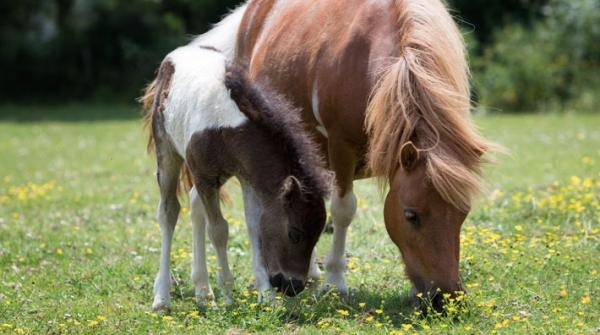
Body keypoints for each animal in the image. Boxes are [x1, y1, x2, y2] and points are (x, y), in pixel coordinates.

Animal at [234, 0, 496, 312]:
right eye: (411, 216)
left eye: (463, 214)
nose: (445, 299)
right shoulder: (341, 147)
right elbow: (343, 210)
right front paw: (336, 284)